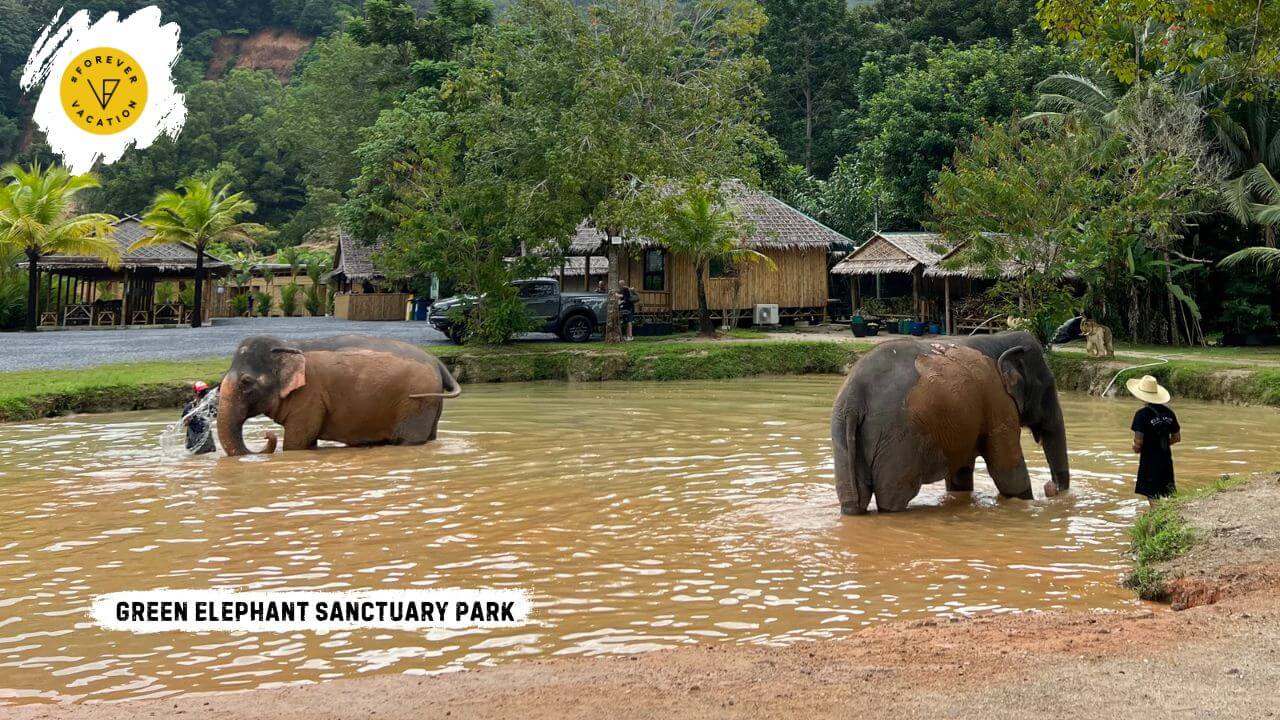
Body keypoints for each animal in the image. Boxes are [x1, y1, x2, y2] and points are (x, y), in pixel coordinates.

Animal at [217, 334, 461, 456]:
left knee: (408, 441)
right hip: (430, 404)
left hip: (415, 404)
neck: (289, 345)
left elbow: (297, 442)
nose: (268, 436)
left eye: (246, 383)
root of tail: (438, 362)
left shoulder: (310, 396)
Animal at [831, 331, 1070, 514]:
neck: (1001, 339)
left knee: (854, 500)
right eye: (1048, 388)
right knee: (893, 500)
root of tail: (854, 399)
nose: (1051, 488)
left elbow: (961, 476)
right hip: (896, 440)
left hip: (843, 432)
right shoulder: (999, 404)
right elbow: (1008, 473)